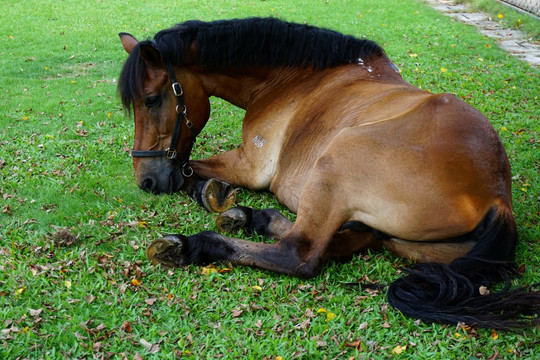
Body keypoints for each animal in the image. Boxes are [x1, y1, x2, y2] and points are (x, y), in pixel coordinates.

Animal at [116, 18, 536, 330]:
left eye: (151, 100)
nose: (146, 181)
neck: (293, 79)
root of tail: (498, 197)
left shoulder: (250, 166)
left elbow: (192, 172)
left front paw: (208, 192)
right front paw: (216, 195)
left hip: (338, 156)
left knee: (300, 253)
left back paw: (196, 243)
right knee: (346, 240)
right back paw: (252, 217)